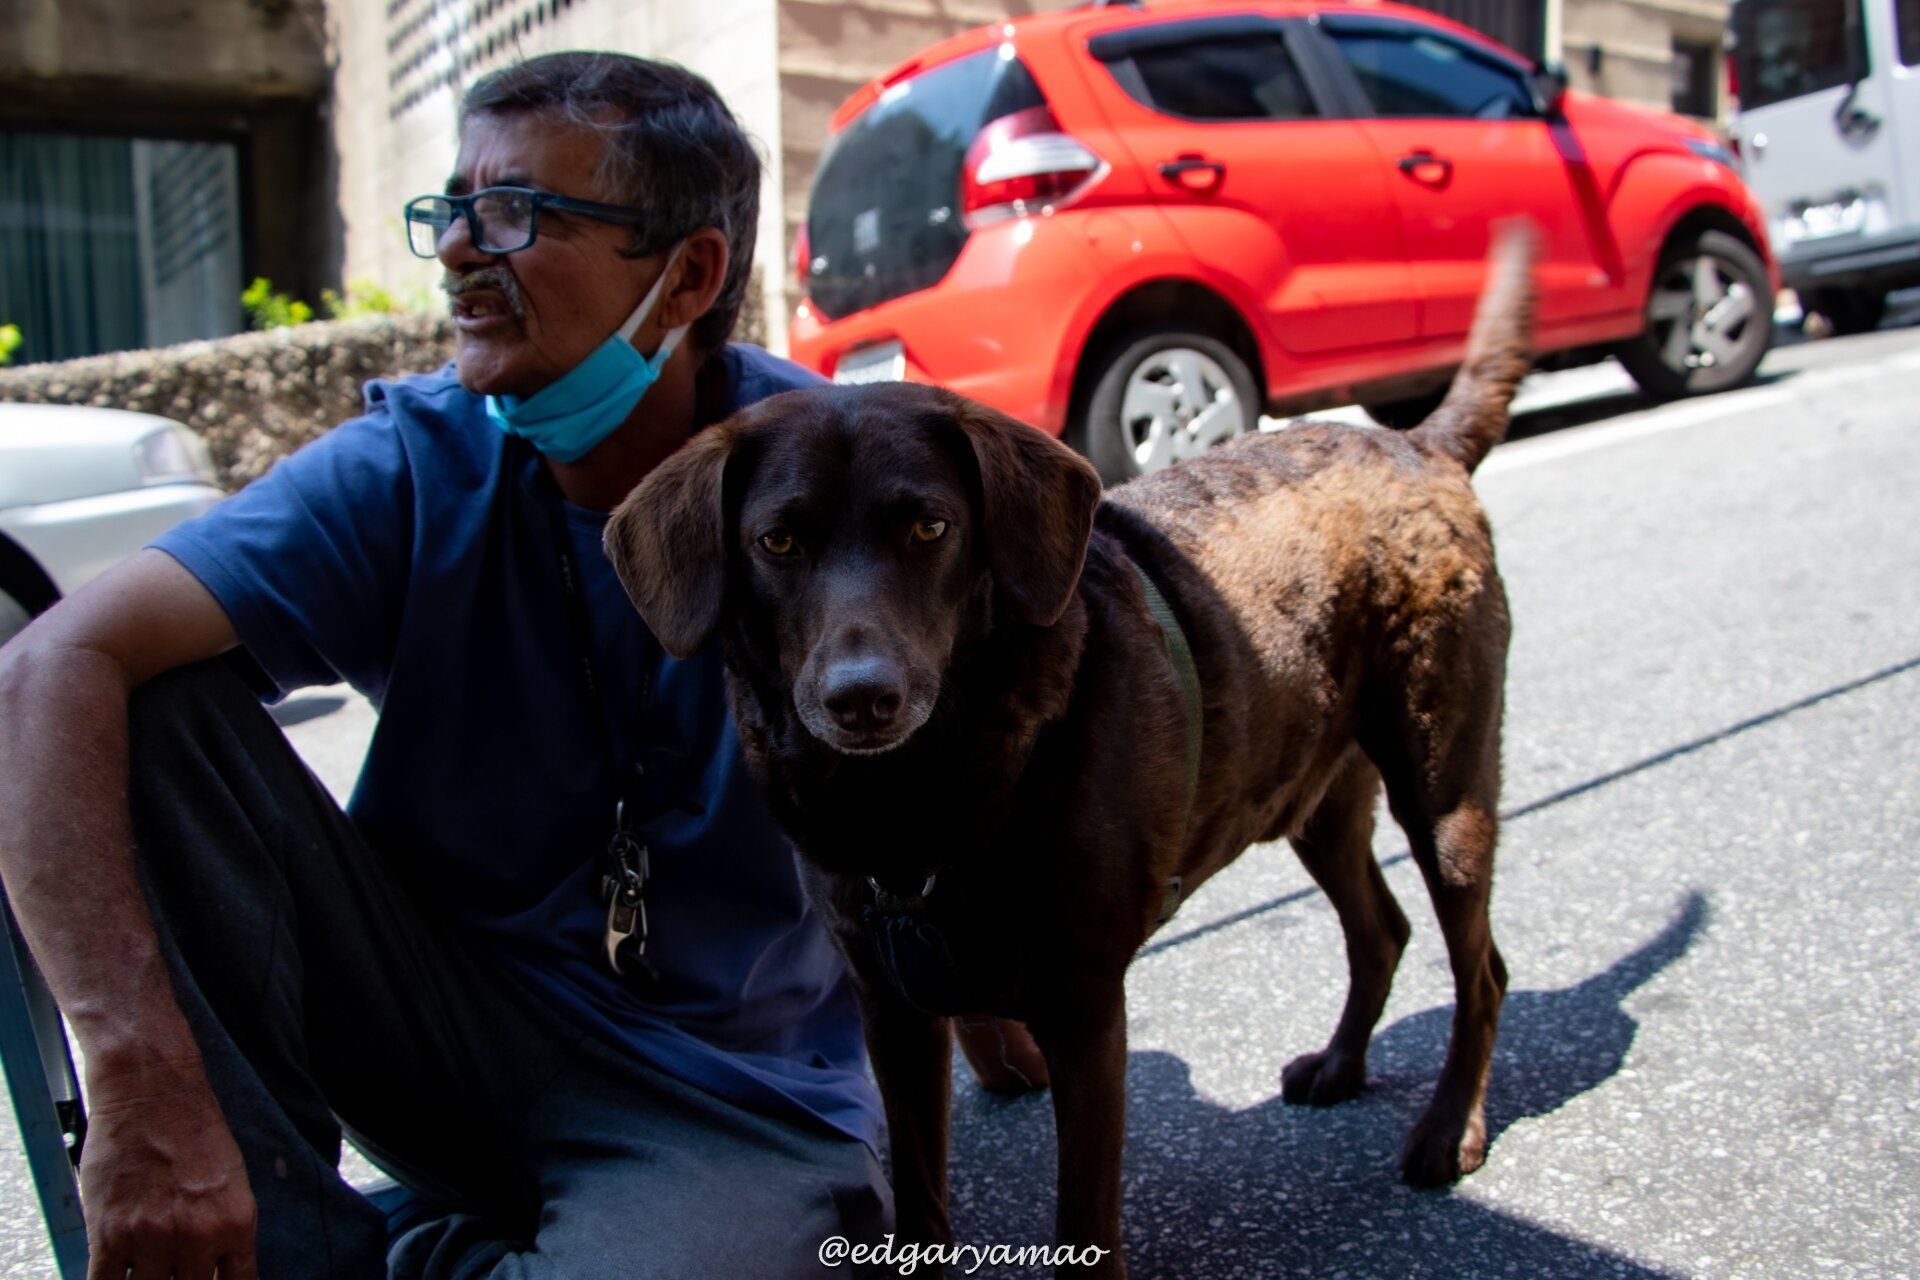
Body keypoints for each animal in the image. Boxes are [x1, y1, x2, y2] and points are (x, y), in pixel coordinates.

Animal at [605, 234, 1535, 1277]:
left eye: (930, 527)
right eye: (778, 541)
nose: (861, 697)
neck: (912, 801)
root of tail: (1417, 443)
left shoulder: (1084, 1009)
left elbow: (1083, 1215)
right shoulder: (894, 1012)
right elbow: (921, 1193)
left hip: (1443, 785)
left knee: (1481, 970)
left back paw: (1448, 1130)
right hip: (1316, 802)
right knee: (1382, 931)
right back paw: (1340, 1065)